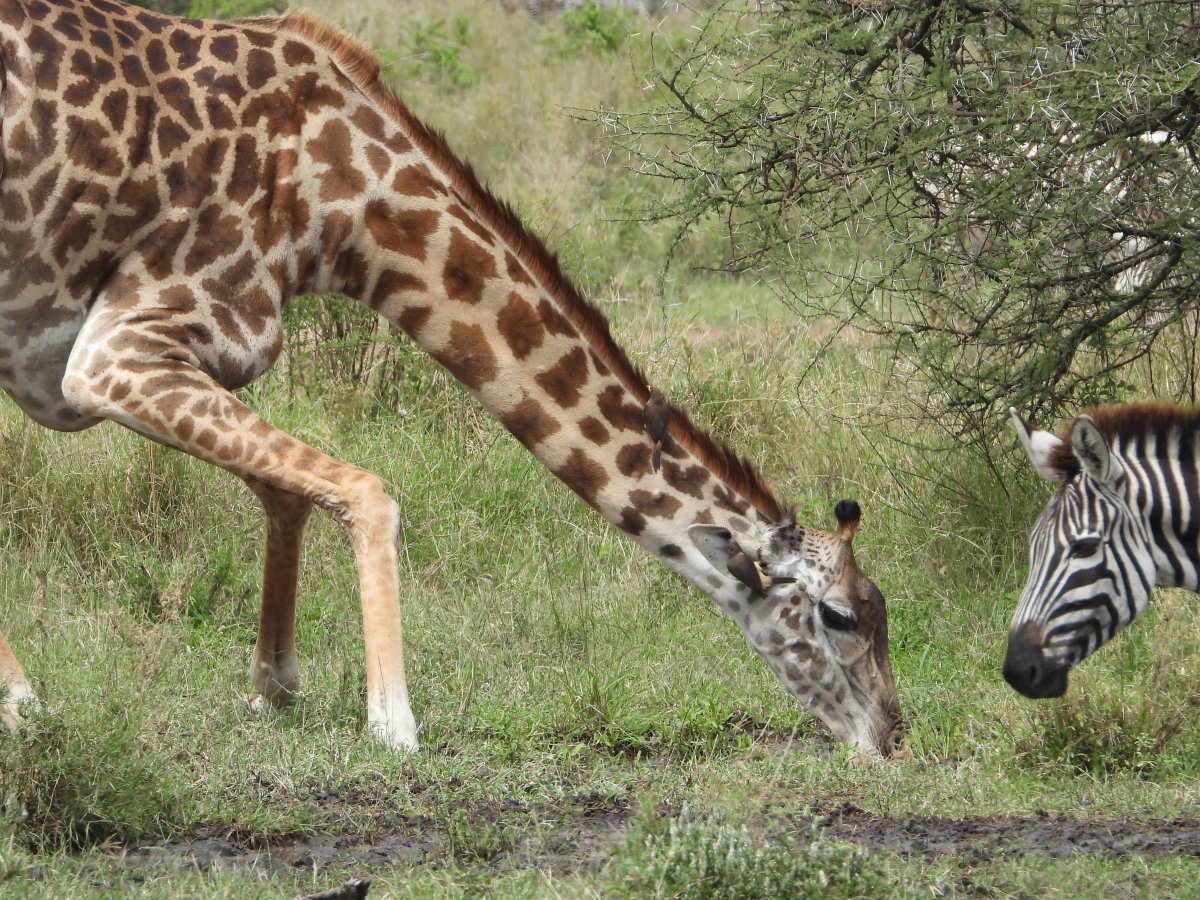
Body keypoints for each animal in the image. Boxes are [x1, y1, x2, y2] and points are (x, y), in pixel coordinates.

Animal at [0, 0, 902, 753]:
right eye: (839, 614)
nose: (892, 737)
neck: (338, 204)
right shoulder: (117, 353)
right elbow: (366, 491)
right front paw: (393, 723)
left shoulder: (153, 358)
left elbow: (289, 494)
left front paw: (274, 685)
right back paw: (25, 706)